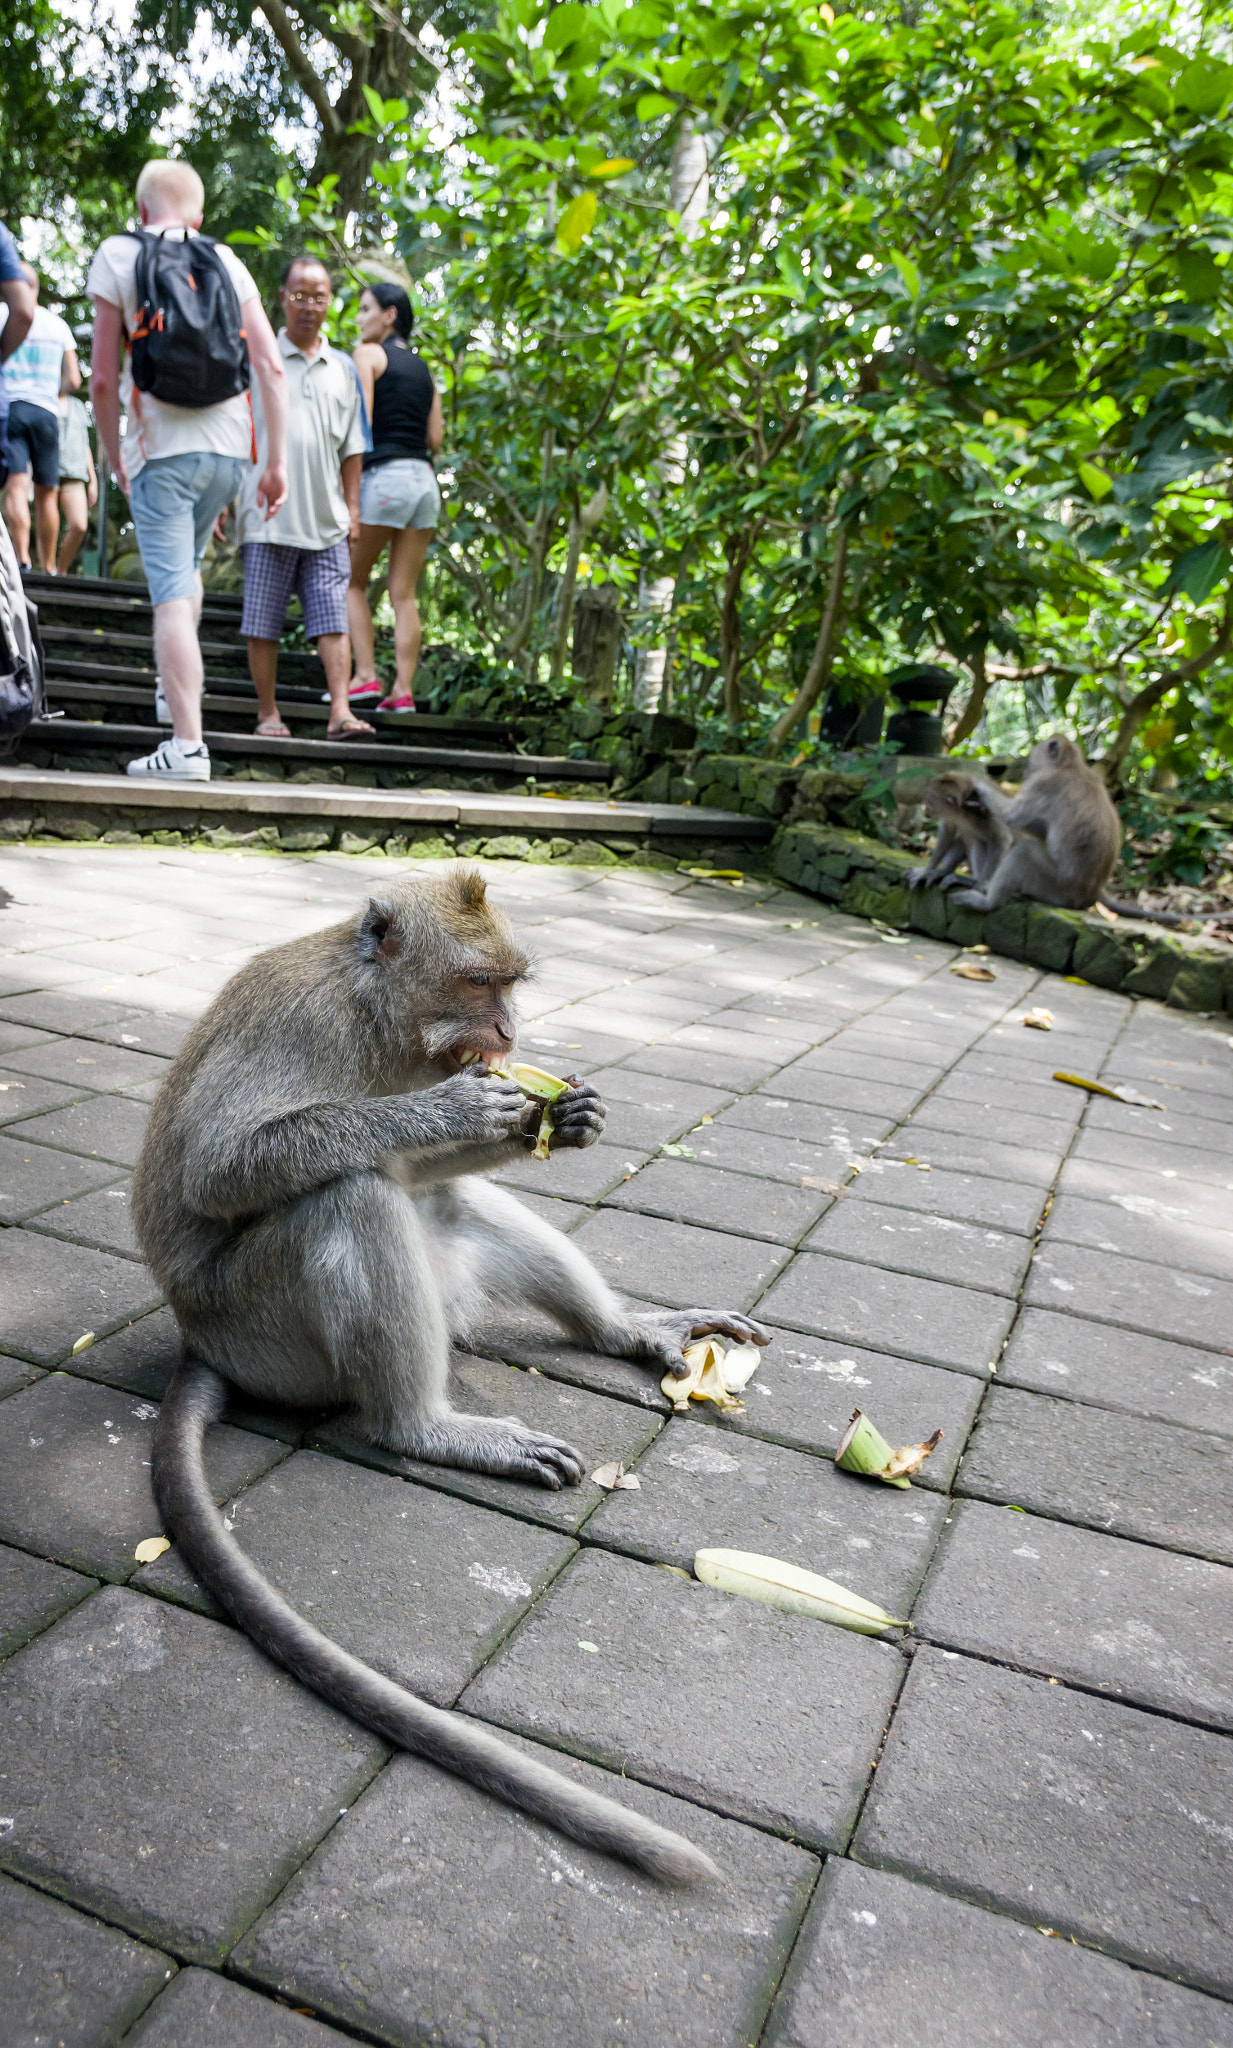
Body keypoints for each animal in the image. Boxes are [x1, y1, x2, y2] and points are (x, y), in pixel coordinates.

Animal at [137, 864, 770, 1884]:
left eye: (513, 982)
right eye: (479, 983)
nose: (510, 1032)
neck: (377, 1017)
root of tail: (199, 1339)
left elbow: (441, 1168)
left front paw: (561, 1116)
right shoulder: (307, 1021)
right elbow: (220, 1169)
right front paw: (447, 1112)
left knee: (450, 1200)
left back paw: (628, 1332)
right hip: (265, 1332)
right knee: (348, 1193)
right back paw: (428, 1429)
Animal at [938, 729, 1122, 905]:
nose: (1026, 770)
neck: (1071, 766)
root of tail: (1090, 894)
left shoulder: (1042, 783)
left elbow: (1012, 816)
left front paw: (977, 782)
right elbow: (1038, 827)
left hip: (1055, 887)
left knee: (1025, 851)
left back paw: (987, 902)